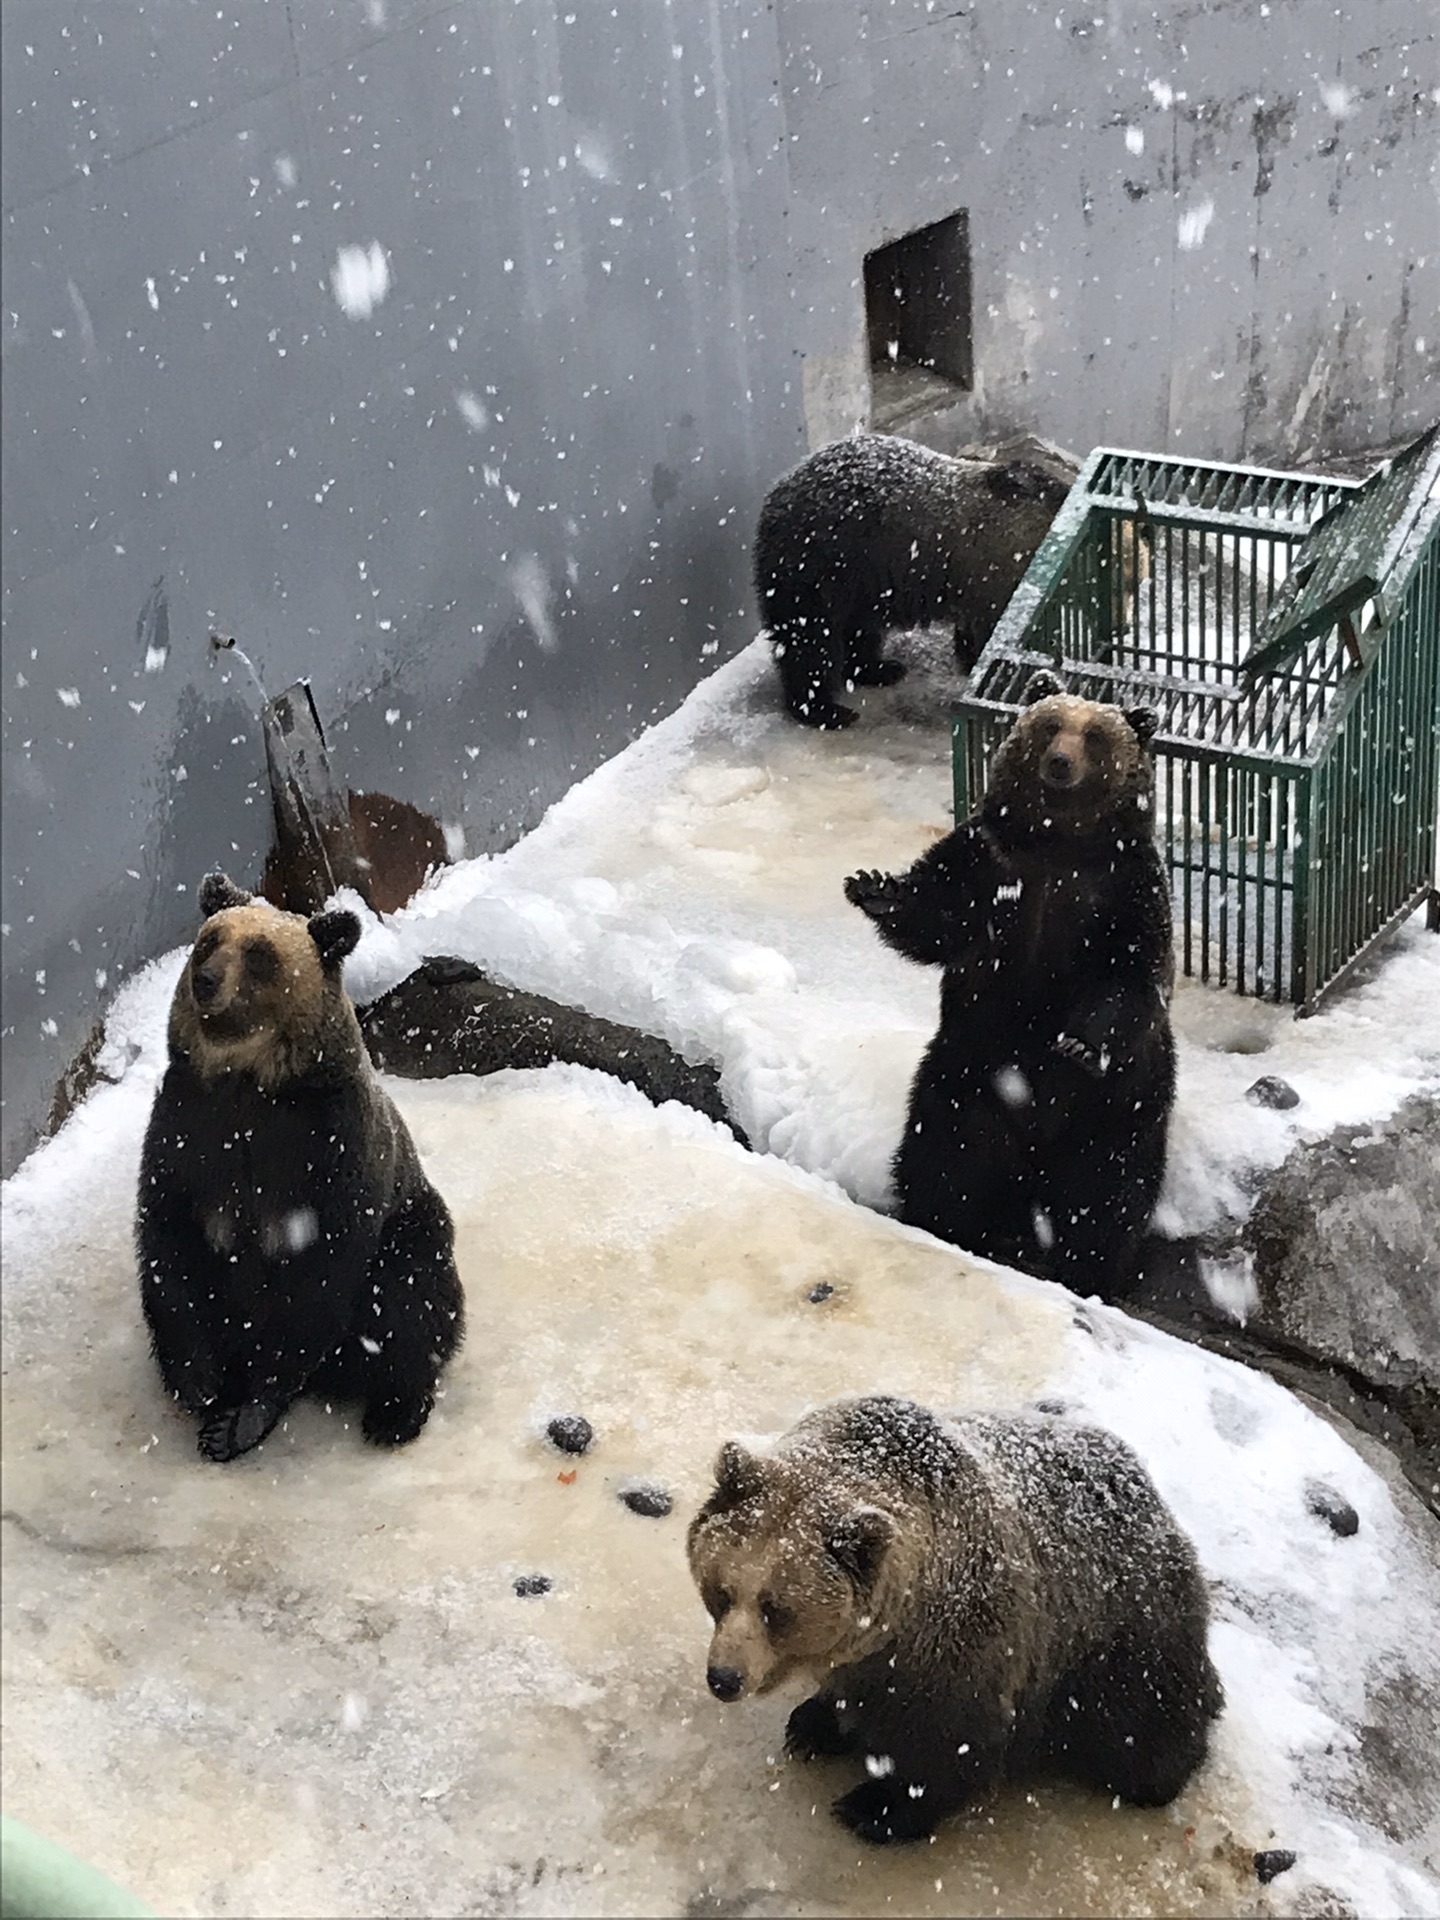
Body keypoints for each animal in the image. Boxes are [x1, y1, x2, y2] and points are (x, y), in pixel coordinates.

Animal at [134, 871, 462, 1451]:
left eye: (259, 954)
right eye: (210, 941)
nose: (207, 981)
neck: (250, 1080)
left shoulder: (329, 1147)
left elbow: (321, 1275)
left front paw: (242, 1416)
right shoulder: (185, 1127)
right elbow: (170, 1247)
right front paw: (203, 1386)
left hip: (413, 1226)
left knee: (410, 1301)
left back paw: (394, 1412)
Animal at [687, 1397, 1221, 1843]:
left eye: (776, 1609)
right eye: (721, 1591)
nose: (724, 1678)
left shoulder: (962, 1643)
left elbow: (946, 1743)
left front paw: (873, 1807)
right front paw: (813, 1723)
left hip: (1115, 1635)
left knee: (1142, 1726)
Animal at [756, 430, 1075, 725]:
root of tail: (772, 501)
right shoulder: (996, 571)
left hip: (862, 585)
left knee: (859, 631)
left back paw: (879, 669)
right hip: (815, 570)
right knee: (811, 642)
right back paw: (824, 709)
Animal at [844, 672, 1175, 1305]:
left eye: (1095, 735)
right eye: (1050, 724)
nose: (1060, 762)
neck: (1059, 844)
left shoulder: (1126, 889)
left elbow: (1132, 977)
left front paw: (1077, 1042)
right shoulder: (987, 862)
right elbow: (936, 914)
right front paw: (874, 886)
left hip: (1120, 1107)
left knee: (1107, 1194)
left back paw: (1088, 1272)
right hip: (967, 1079)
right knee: (945, 1161)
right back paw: (947, 1226)